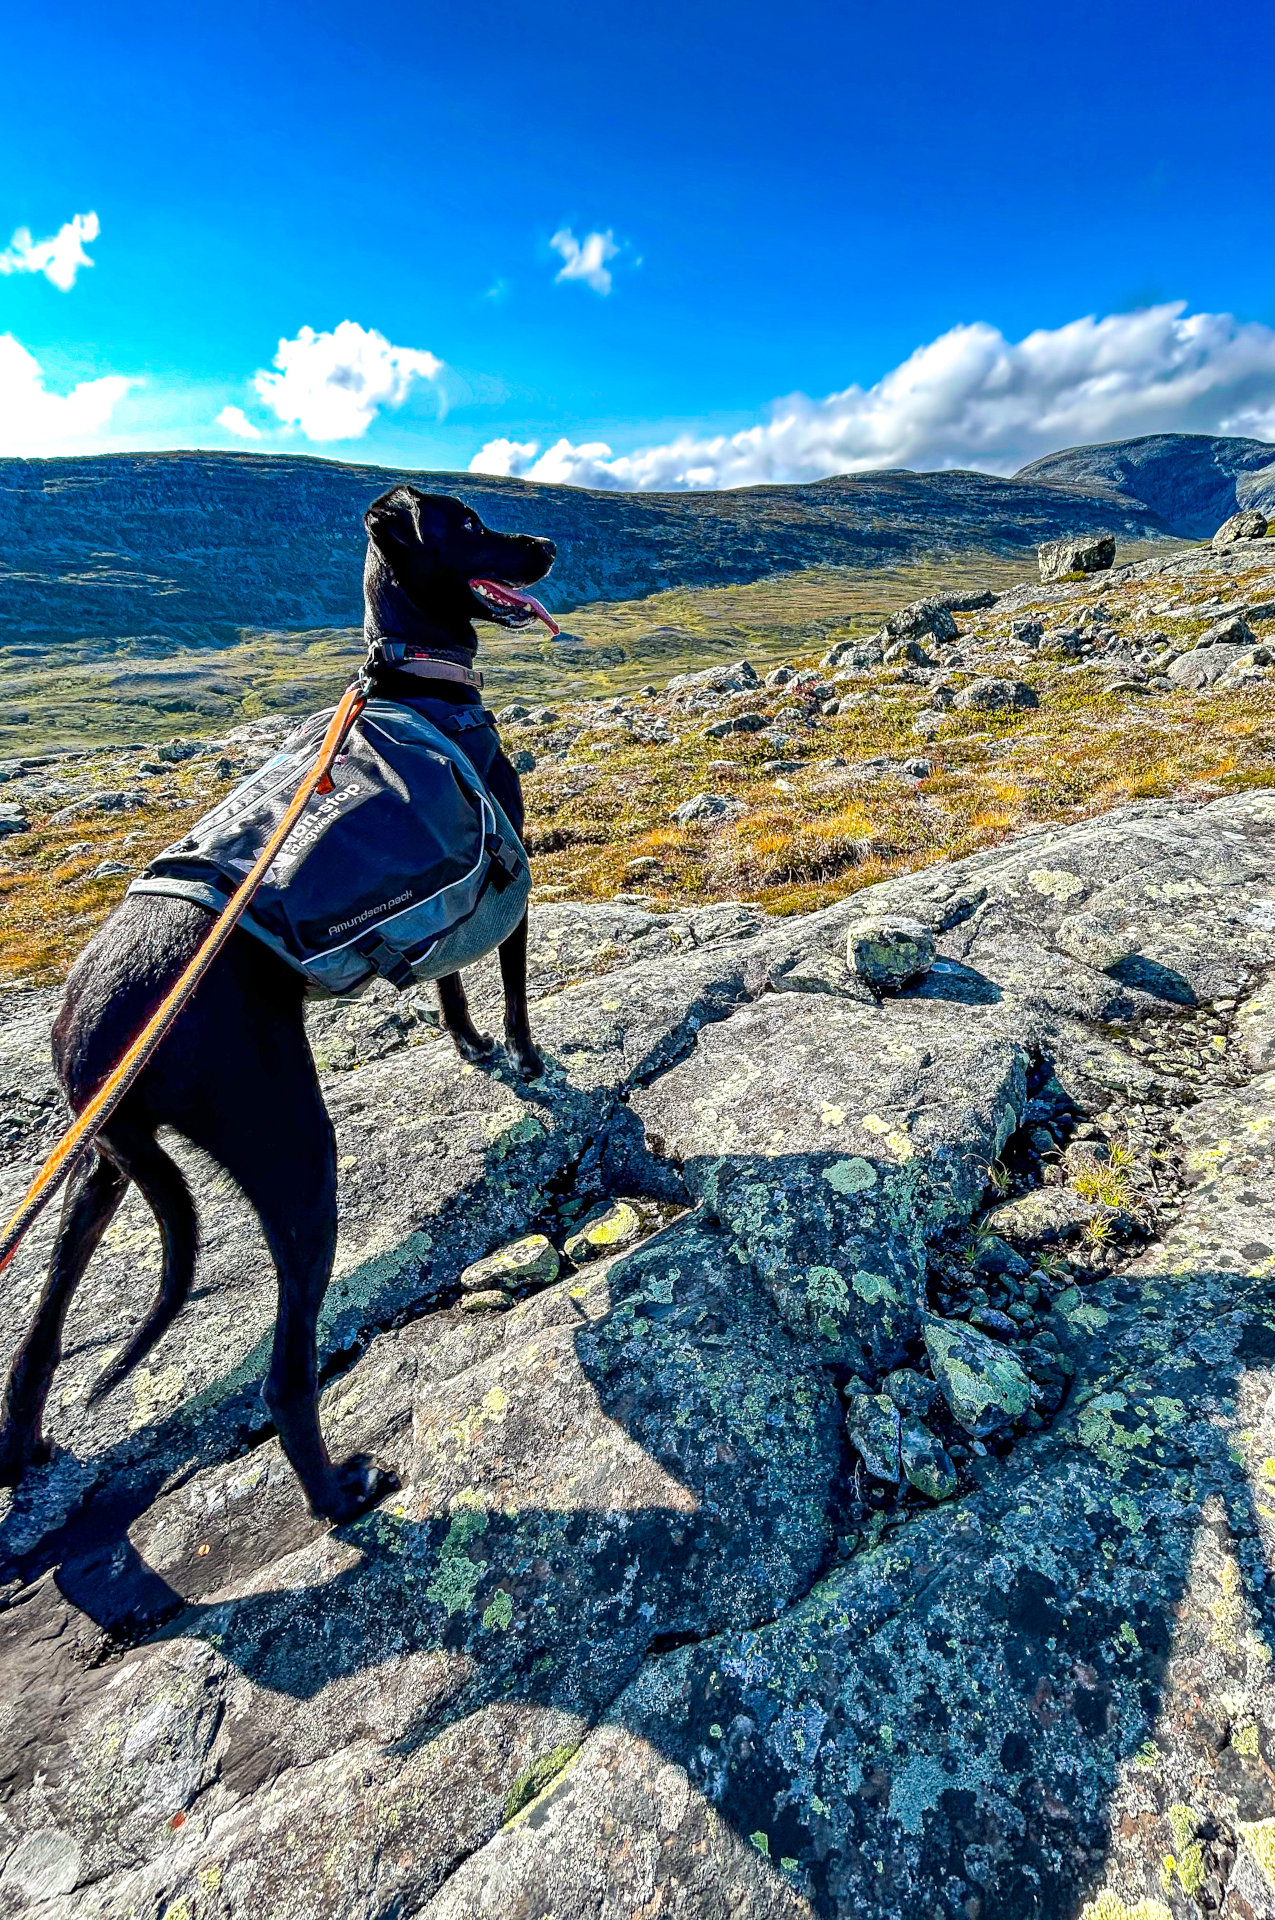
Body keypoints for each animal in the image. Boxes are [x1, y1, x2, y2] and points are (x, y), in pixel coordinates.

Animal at [0, 490, 556, 1523]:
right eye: (467, 524)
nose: (545, 543)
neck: (414, 679)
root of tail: (91, 1032)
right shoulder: (509, 879)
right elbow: (507, 987)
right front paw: (525, 1057)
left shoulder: (451, 897)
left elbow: (449, 984)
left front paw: (467, 1044)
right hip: (294, 1155)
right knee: (285, 1376)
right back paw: (338, 1493)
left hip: (100, 1167)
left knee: (37, 1340)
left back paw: (22, 1452)